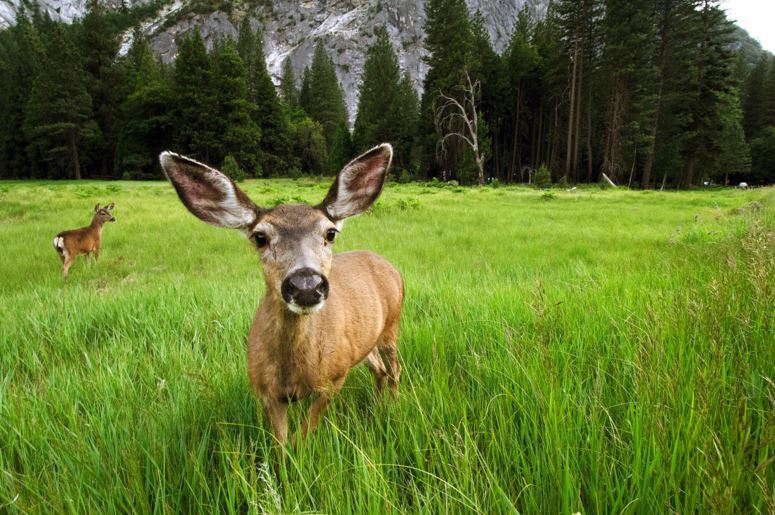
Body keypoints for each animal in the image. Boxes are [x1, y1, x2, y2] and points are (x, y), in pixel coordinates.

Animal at [164, 144, 406, 444]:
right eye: (260, 237)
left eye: (330, 233)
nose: (306, 284)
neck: (292, 372)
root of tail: (388, 264)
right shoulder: (265, 391)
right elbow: (282, 444)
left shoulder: (334, 378)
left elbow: (302, 436)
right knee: (380, 369)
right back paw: (378, 406)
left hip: (392, 325)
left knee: (394, 369)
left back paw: (392, 408)